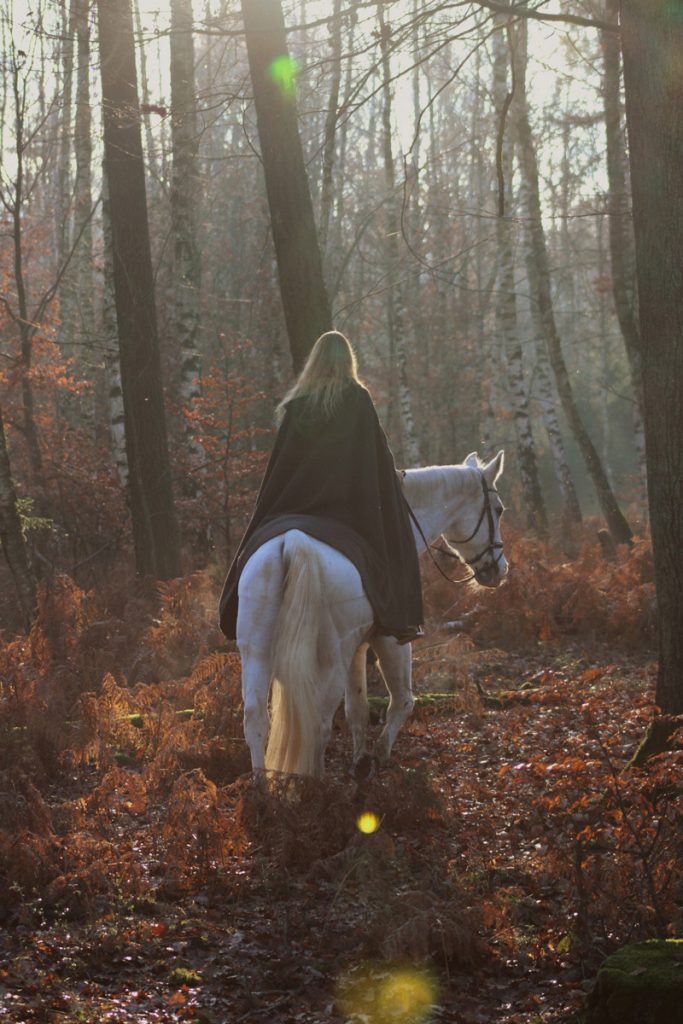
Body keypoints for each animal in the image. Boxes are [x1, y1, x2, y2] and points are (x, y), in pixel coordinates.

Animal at [235, 450, 507, 774]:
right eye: (499, 509)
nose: (500, 569)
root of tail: (294, 542)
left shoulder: (358, 647)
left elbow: (358, 710)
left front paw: (359, 759)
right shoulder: (389, 639)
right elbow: (402, 701)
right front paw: (376, 758)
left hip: (257, 652)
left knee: (256, 720)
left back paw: (263, 784)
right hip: (330, 658)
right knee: (318, 723)